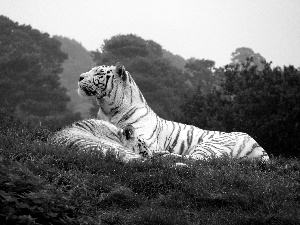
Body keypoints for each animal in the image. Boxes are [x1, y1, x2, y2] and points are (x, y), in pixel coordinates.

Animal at [77, 62, 270, 162]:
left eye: (99, 73)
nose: (79, 77)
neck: (108, 109)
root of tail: (260, 148)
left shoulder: (144, 139)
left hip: (210, 145)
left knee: (194, 160)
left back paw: (166, 155)